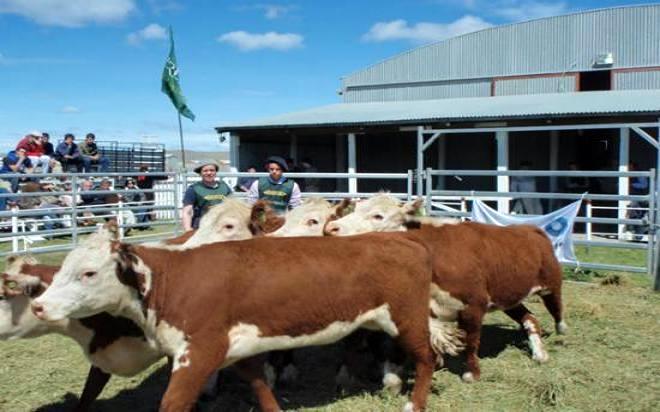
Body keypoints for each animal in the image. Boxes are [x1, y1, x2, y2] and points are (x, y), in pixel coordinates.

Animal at [31, 225, 452, 412]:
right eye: (64, 266)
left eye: (88, 273)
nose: (38, 306)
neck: (170, 281)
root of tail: (400, 237)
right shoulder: (235, 348)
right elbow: (260, 386)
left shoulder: (197, 352)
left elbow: (172, 402)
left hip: (407, 317)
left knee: (427, 358)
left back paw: (414, 404)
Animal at [324, 193, 568, 384]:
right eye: (356, 208)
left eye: (378, 216)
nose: (331, 228)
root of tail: (531, 228)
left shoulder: (473, 306)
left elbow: (471, 342)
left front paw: (472, 374)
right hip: (508, 298)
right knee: (529, 318)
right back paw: (539, 353)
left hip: (551, 284)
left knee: (556, 309)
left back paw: (561, 332)